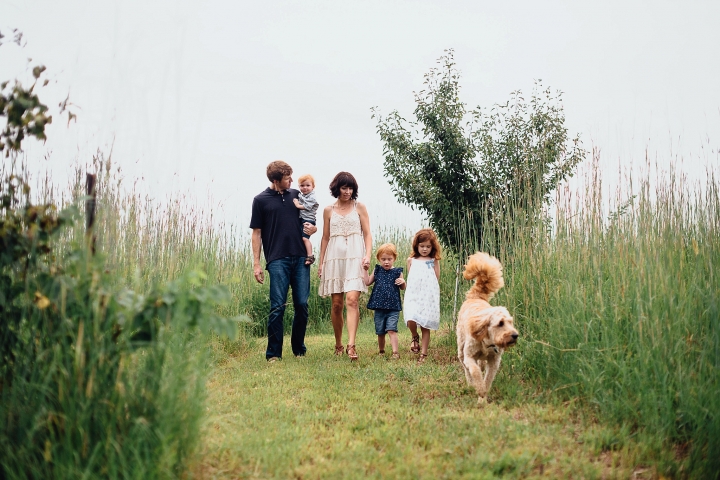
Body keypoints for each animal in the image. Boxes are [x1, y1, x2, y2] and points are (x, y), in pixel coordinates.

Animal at [456, 251, 516, 404]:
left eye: (511, 322)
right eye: (500, 323)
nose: (515, 335)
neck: (487, 342)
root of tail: (475, 296)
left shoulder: (494, 361)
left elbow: (488, 378)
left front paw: (483, 397)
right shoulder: (469, 356)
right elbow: (475, 372)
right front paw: (480, 389)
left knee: (481, 363)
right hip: (461, 347)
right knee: (465, 366)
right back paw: (470, 382)